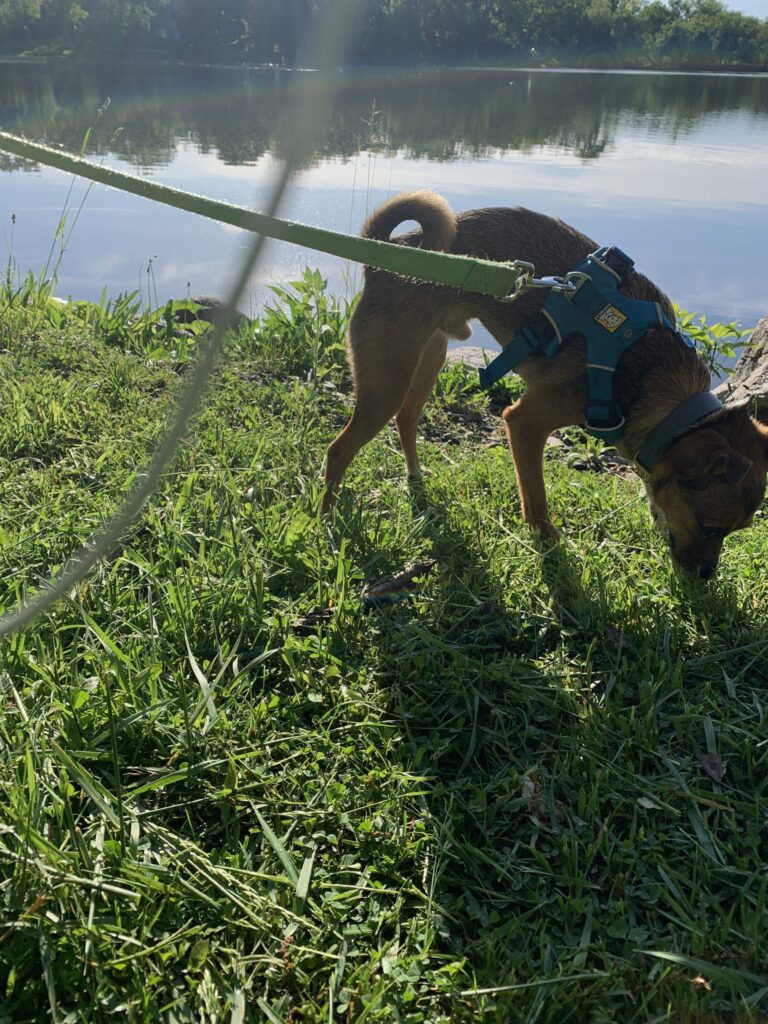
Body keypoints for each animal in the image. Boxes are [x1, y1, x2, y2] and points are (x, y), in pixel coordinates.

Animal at [323, 190, 768, 578]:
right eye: (711, 527)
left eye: (735, 531)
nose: (705, 578)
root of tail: (384, 253)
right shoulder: (524, 421)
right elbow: (535, 498)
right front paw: (548, 541)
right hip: (387, 382)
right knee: (338, 450)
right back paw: (327, 517)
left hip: (426, 361)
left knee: (406, 421)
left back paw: (415, 478)